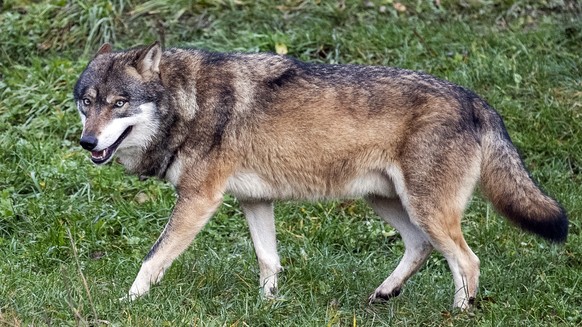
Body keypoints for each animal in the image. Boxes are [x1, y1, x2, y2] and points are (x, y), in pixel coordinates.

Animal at [74, 43, 572, 310]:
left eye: (119, 103)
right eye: (87, 102)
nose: (87, 142)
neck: (187, 103)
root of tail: (476, 99)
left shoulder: (199, 199)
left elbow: (152, 258)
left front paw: (127, 304)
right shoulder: (253, 200)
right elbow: (268, 260)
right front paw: (268, 306)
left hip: (425, 209)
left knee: (467, 261)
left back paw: (458, 313)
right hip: (389, 203)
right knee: (421, 247)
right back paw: (383, 294)